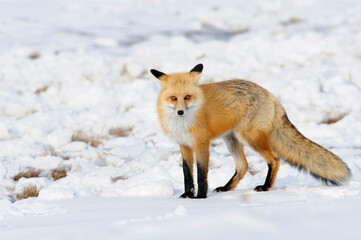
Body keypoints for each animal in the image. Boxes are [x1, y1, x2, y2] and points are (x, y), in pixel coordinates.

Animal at [149, 63, 348, 199]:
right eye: (173, 98)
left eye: (187, 97)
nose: (180, 112)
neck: (182, 123)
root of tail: (271, 95)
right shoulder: (184, 145)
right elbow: (187, 174)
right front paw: (188, 195)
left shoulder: (201, 143)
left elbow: (201, 173)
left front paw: (200, 197)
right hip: (232, 139)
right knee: (243, 166)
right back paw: (226, 188)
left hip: (249, 138)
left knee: (274, 159)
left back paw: (266, 187)